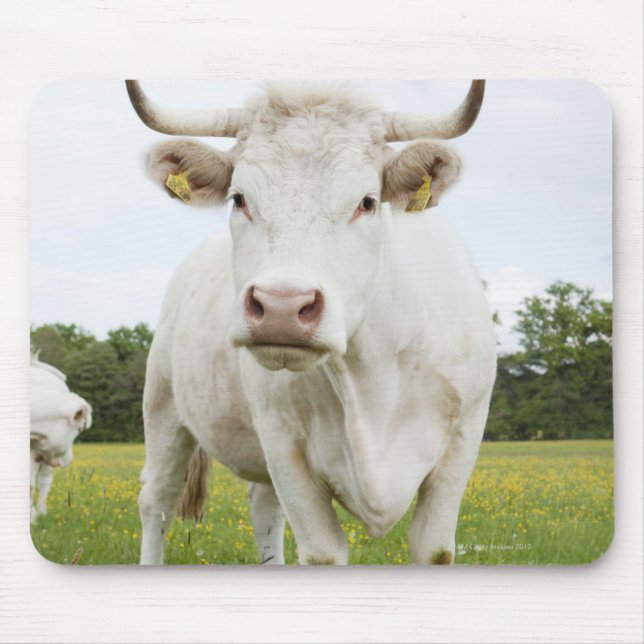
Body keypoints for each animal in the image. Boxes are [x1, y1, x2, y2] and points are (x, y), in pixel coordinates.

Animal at [126, 80, 497, 565]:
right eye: (239, 199)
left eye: (367, 202)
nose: (282, 307)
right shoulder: (283, 444)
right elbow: (322, 552)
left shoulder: (463, 439)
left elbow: (433, 548)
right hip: (163, 405)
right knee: (158, 500)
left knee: (263, 507)